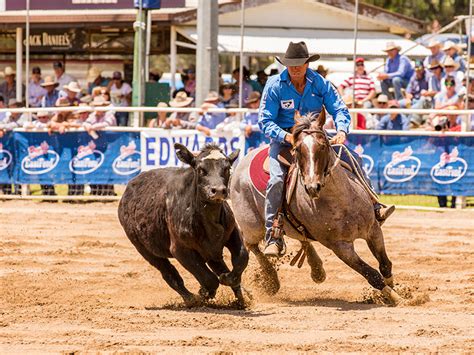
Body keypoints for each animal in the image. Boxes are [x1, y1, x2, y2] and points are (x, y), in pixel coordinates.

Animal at [119, 143, 248, 308]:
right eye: (201, 169)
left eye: (227, 168)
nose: (218, 191)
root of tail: (127, 192)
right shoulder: (180, 250)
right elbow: (209, 280)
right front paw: (202, 294)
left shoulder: (232, 233)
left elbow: (241, 258)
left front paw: (228, 280)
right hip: (145, 250)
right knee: (170, 274)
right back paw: (190, 299)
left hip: (209, 252)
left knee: (218, 265)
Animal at [231, 112, 402, 306]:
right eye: (297, 149)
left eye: (323, 146)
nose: (312, 187)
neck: (342, 203)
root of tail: (241, 161)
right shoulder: (340, 247)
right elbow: (371, 274)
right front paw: (395, 297)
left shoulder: (373, 230)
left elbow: (385, 265)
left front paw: (392, 292)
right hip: (251, 225)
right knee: (252, 245)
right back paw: (272, 278)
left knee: (303, 239)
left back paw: (317, 270)